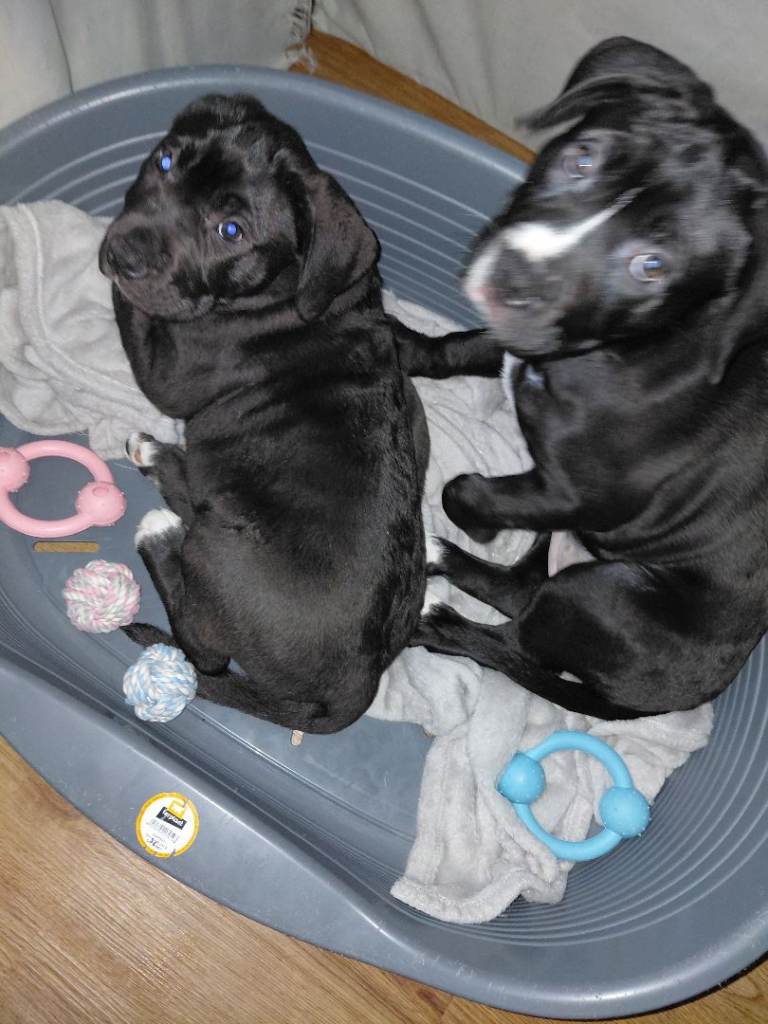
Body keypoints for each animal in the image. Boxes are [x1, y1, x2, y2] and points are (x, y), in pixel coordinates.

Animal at [100, 93, 503, 733]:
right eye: (164, 160)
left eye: (230, 230)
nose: (121, 250)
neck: (297, 292)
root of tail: (355, 685)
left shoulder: (169, 372)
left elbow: (133, 312)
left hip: (220, 548)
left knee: (204, 652)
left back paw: (159, 514)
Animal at [411, 37, 768, 718]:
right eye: (582, 157)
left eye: (652, 266)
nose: (515, 278)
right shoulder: (522, 342)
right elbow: (455, 348)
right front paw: (394, 343)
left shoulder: (578, 494)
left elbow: (463, 490)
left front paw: (478, 524)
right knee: (521, 591)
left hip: (605, 592)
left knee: (517, 634)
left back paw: (437, 612)